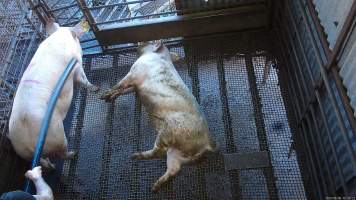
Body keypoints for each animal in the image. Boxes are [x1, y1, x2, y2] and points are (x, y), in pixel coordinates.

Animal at [8, 18, 98, 169]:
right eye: (78, 39)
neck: (59, 37)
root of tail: (30, 143)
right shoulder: (76, 66)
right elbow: (83, 79)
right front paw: (96, 88)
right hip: (58, 136)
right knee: (62, 153)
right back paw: (73, 154)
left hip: (21, 150)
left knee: (43, 162)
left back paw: (51, 166)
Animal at [101, 41, 216, 192]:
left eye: (149, 42)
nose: (139, 41)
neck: (159, 55)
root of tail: (206, 143)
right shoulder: (135, 85)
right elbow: (125, 90)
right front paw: (108, 98)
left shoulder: (135, 72)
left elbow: (120, 84)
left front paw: (103, 96)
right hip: (177, 153)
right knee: (174, 169)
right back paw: (154, 186)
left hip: (168, 134)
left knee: (159, 152)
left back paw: (135, 158)